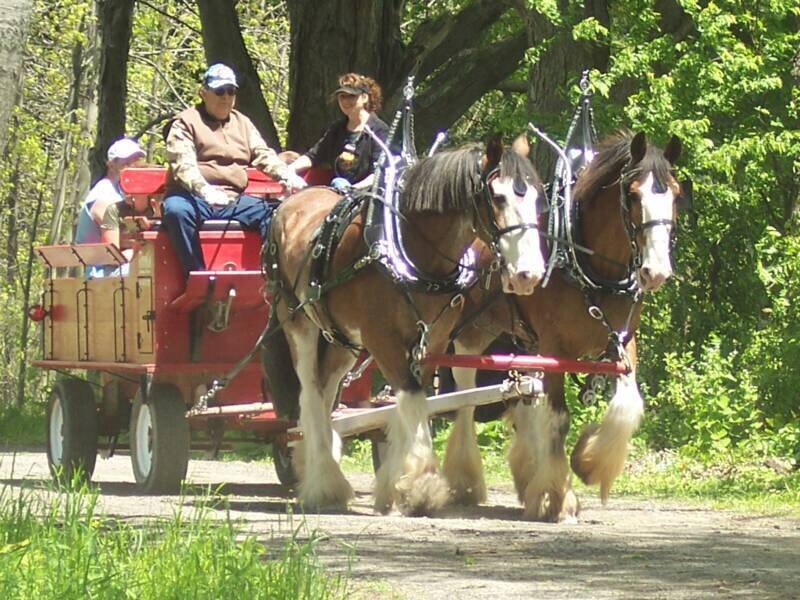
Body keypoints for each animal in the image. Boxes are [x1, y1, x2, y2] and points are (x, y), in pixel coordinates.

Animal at [262, 138, 547, 516]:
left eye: (537, 198)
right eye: (497, 197)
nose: (528, 274)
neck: (412, 255)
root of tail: (291, 202)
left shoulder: (433, 340)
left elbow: (415, 399)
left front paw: (399, 480)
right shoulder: (381, 338)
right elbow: (410, 398)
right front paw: (419, 485)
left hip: (341, 338)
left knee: (325, 391)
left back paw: (322, 471)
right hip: (297, 321)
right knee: (309, 392)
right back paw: (322, 482)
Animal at [441, 131, 684, 521]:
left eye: (675, 194)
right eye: (633, 195)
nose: (656, 271)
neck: (589, 266)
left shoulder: (621, 341)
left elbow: (628, 405)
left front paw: (589, 462)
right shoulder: (554, 347)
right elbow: (557, 418)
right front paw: (556, 497)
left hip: (521, 339)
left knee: (523, 395)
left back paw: (527, 471)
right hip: (471, 332)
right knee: (465, 397)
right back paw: (464, 479)